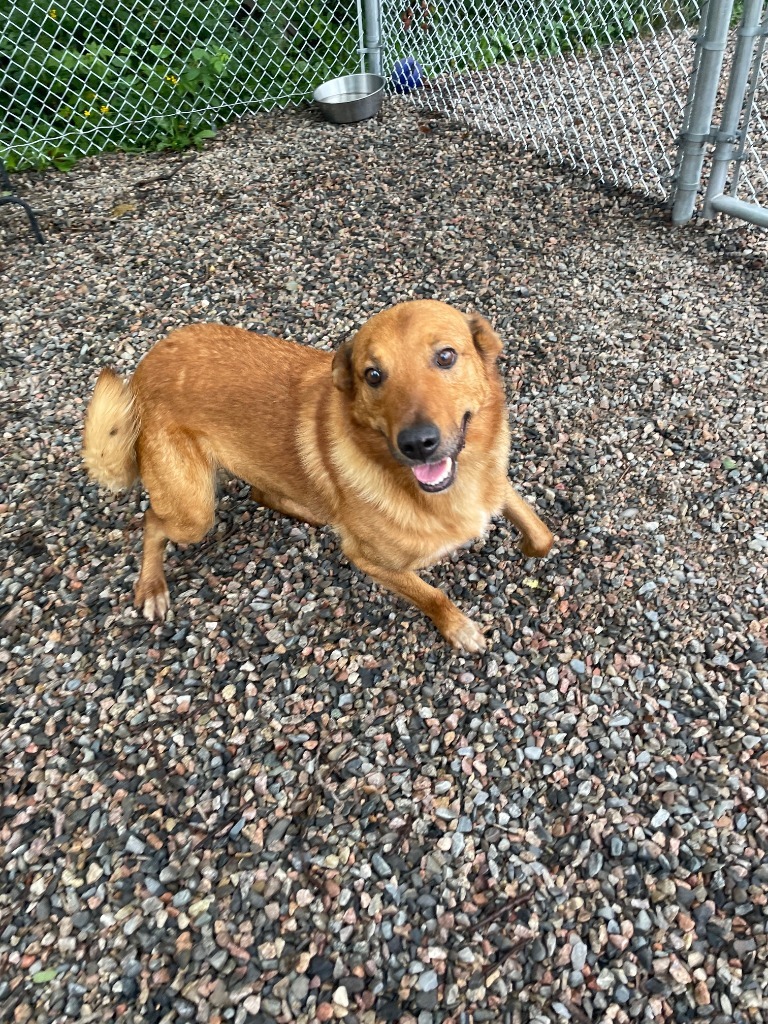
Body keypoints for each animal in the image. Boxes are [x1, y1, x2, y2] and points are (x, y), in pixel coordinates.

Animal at [83, 299, 552, 647]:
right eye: (373, 375)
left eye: (446, 356)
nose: (418, 443)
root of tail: (143, 368)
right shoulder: (371, 561)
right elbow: (432, 596)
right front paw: (457, 627)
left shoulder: (493, 483)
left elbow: (542, 534)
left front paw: (530, 548)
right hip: (193, 512)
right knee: (153, 520)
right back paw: (151, 586)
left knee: (261, 493)